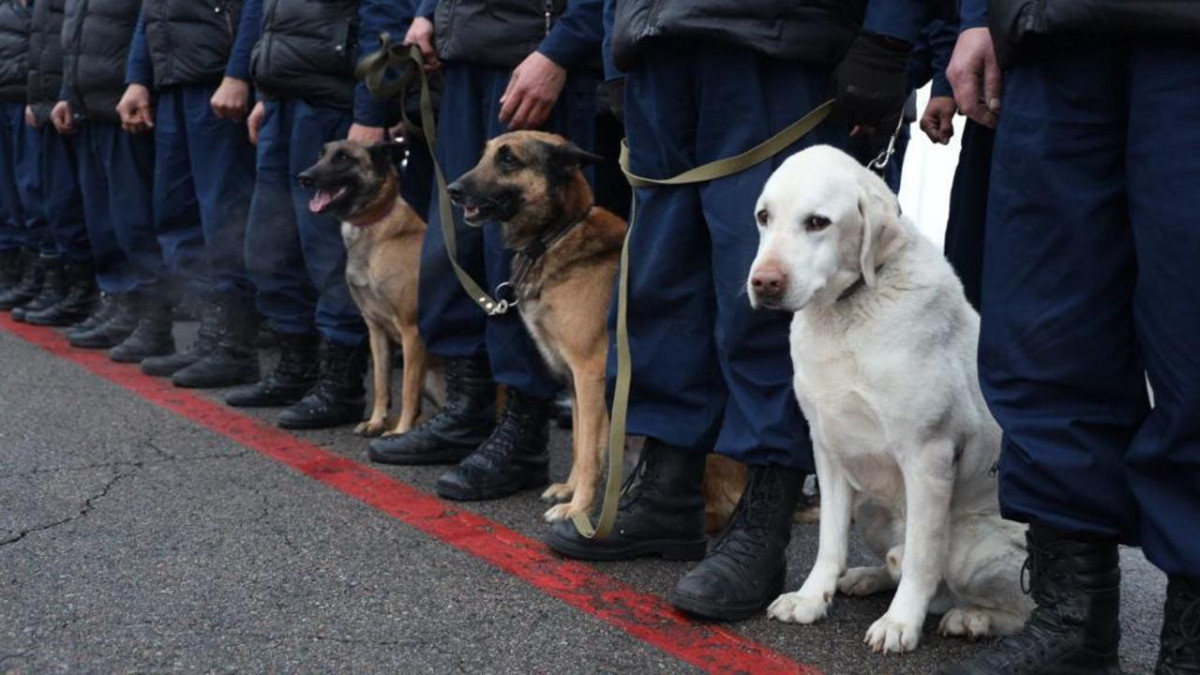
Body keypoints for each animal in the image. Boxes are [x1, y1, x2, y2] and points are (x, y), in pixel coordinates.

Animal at [300, 140, 446, 437]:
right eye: (322, 155)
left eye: (343, 158)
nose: (304, 178)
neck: (375, 228)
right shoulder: (375, 330)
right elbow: (380, 383)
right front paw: (377, 421)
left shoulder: (412, 332)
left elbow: (407, 390)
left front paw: (399, 432)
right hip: (429, 376)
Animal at [744, 145, 1027, 653]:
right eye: (764, 217)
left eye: (817, 222)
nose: (764, 282)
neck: (845, 314)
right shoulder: (828, 449)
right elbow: (829, 542)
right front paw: (812, 598)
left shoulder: (928, 456)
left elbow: (920, 559)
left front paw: (900, 623)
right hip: (872, 508)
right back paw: (868, 577)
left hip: (971, 544)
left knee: (1015, 607)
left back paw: (974, 618)